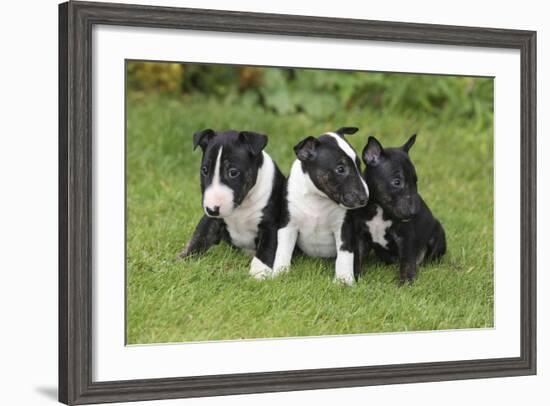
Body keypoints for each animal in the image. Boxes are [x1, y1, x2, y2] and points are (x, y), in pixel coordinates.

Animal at [179, 129, 286, 280]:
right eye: (204, 170)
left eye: (233, 172)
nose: (212, 209)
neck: (242, 206)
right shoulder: (211, 220)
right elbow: (198, 238)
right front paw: (180, 260)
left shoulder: (270, 224)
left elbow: (267, 248)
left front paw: (258, 273)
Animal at [272, 127, 370, 286]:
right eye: (340, 169)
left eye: (359, 165)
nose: (364, 198)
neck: (318, 198)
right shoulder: (288, 224)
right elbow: (283, 250)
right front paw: (280, 274)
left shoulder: (343, 227)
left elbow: (345, 254)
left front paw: (344, 280)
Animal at [354, 135, 448, 284]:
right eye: (397, 182)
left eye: (415, 181)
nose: (415, 212)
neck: (380, 209)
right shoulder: (360, 235)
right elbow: (357, 258)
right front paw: (354, 277)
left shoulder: (405, 237)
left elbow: (407, 261)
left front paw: (406, 281)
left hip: (438, 234)